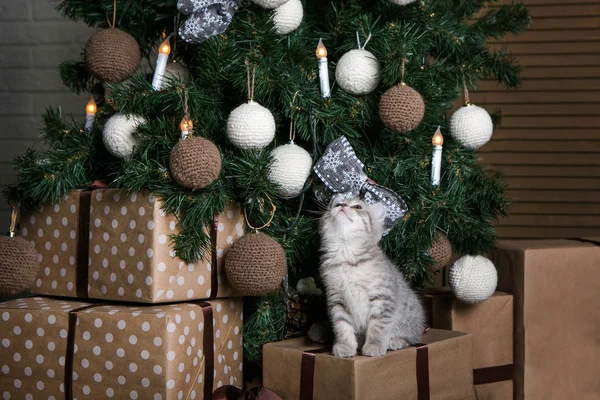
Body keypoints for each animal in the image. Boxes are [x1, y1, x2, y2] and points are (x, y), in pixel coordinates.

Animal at [318, 197, 426, 356]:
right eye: (336, 204)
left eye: (358, 206)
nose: (342, 205)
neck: (347, 256)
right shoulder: (336, 300)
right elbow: (342, 325)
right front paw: (345, 346)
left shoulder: (383, 298)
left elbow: (378, 326)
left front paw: (374, 346)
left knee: (411, 337)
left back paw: (395, 341)